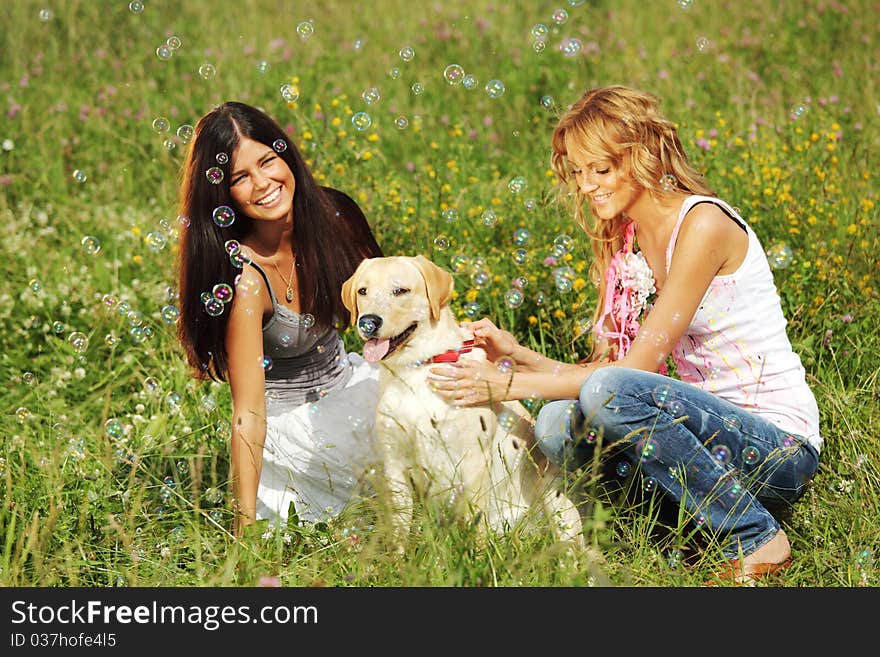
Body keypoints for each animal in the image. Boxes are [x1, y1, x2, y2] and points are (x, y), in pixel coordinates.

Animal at [342, 255, 584, 548]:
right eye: (362, 291)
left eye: (400, 290)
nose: (368, 322)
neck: (417, 369)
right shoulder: (394, 462)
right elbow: (400, 526)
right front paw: (398, 558)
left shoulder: (473, 459)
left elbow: (474, 520)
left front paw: (477, 555)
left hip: (553, 498)